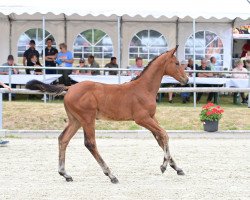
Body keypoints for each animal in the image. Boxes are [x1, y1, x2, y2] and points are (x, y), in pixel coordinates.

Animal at [26, 46, 188, 184]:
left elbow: (160, 138)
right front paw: (164, 166)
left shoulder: (151, 117)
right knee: (90, 143)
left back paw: (65, 174)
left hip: (75, 120)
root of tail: (70, 87)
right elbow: (164, 135)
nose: (186, 79)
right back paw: (111, 174)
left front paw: (177, 168)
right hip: (87, 119)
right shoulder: (142, 119)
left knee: (63, 139)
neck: (144, 88)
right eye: (177, 63)